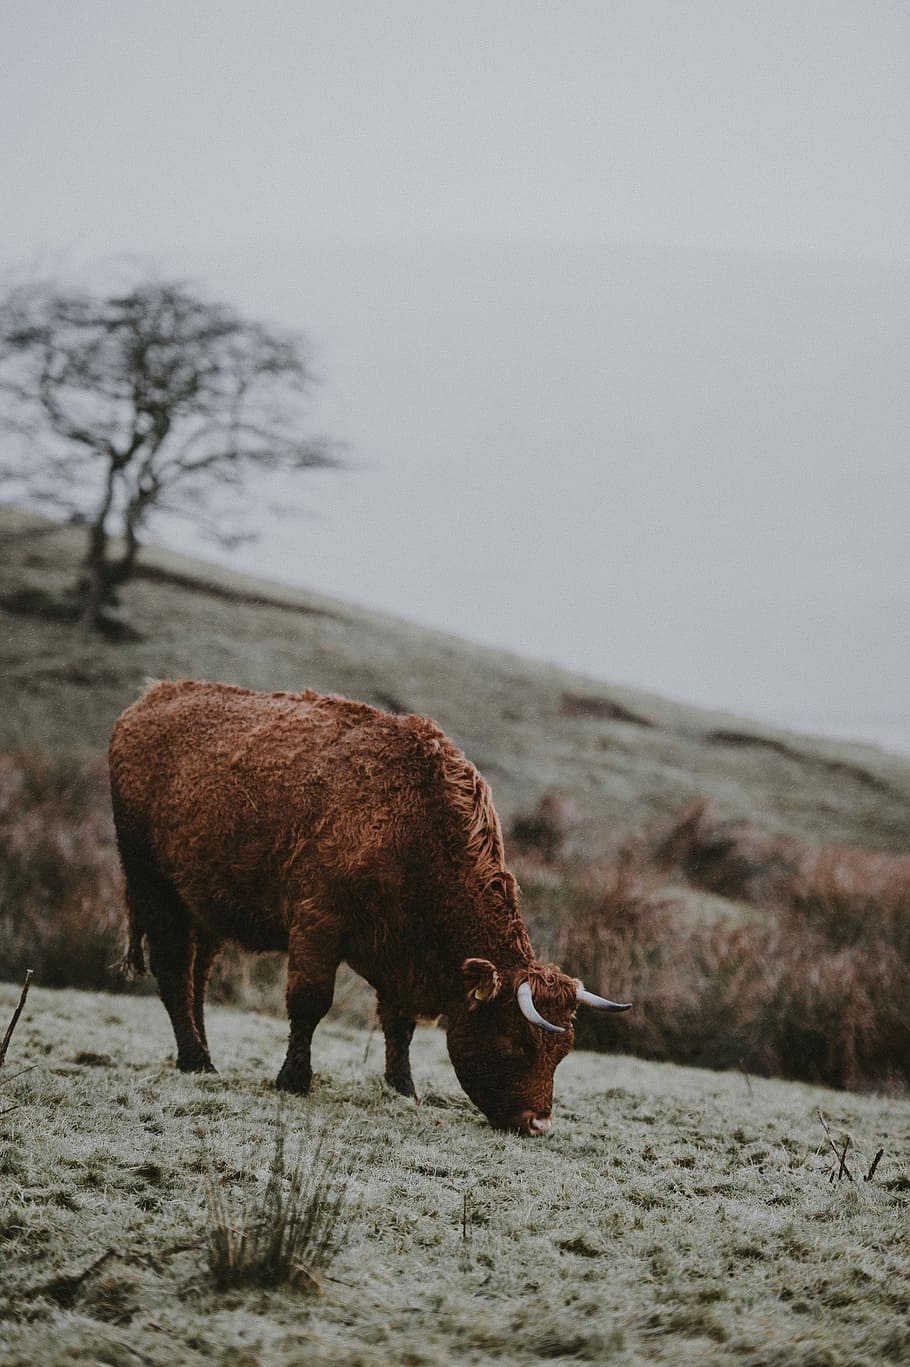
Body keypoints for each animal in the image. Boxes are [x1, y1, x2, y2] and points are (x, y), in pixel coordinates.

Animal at [109, 680, 630, 1134]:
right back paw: (195, 1060)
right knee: (173, 971)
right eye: (515, 1042)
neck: (412, 824)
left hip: (203, 907)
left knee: (197, 977)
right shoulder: (317, 924)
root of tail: (151, 699)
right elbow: (310, 1003)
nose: (538, 1124)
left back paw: (201, 1053)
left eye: (562, 1052)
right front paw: (293, 1080)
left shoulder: (399, 952)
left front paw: (404, 1089)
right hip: (154, 888)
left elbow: (399, 1025)